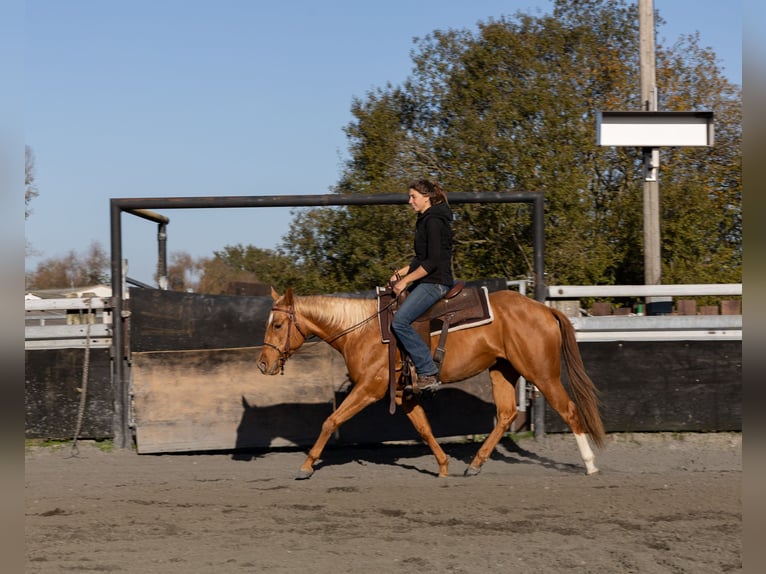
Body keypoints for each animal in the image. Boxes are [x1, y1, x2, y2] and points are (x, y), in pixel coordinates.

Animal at [258, 288, 608, 482]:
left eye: (278, 324)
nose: (263, 364)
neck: (363, 331)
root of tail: (543, 307)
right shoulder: (404, 396)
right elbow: (424, 429)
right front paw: (442, 466)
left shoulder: (369, 389)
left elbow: (331, 420)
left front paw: (306, 465)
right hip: (502, 370)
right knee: (506, 414)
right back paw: (475, 464)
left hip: (542, 374)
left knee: (569, 410)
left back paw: (590, 466)